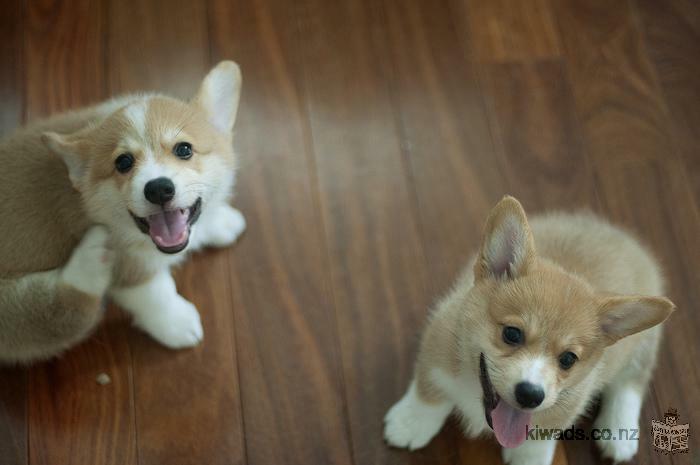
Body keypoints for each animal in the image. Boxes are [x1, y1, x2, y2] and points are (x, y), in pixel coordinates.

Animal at [0, 59, 246, 360]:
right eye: (123, 162)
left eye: (184, 149)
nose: (158, 188)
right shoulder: (132, 267)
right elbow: (155, 292)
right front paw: (176, 322)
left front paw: (221, 221)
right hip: (17, 313)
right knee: (65, 312)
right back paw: (89, 259)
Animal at [386, 195, 676, 464]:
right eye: (512, 334)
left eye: (568, 359)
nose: (530, 395)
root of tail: (620, 234)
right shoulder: (437, 345)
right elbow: (429, 392)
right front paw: (409, 423)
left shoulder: (564, 408)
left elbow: (539, 437)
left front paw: (529, 458)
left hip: (642, 347)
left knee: (632, 381)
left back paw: (618, 433)